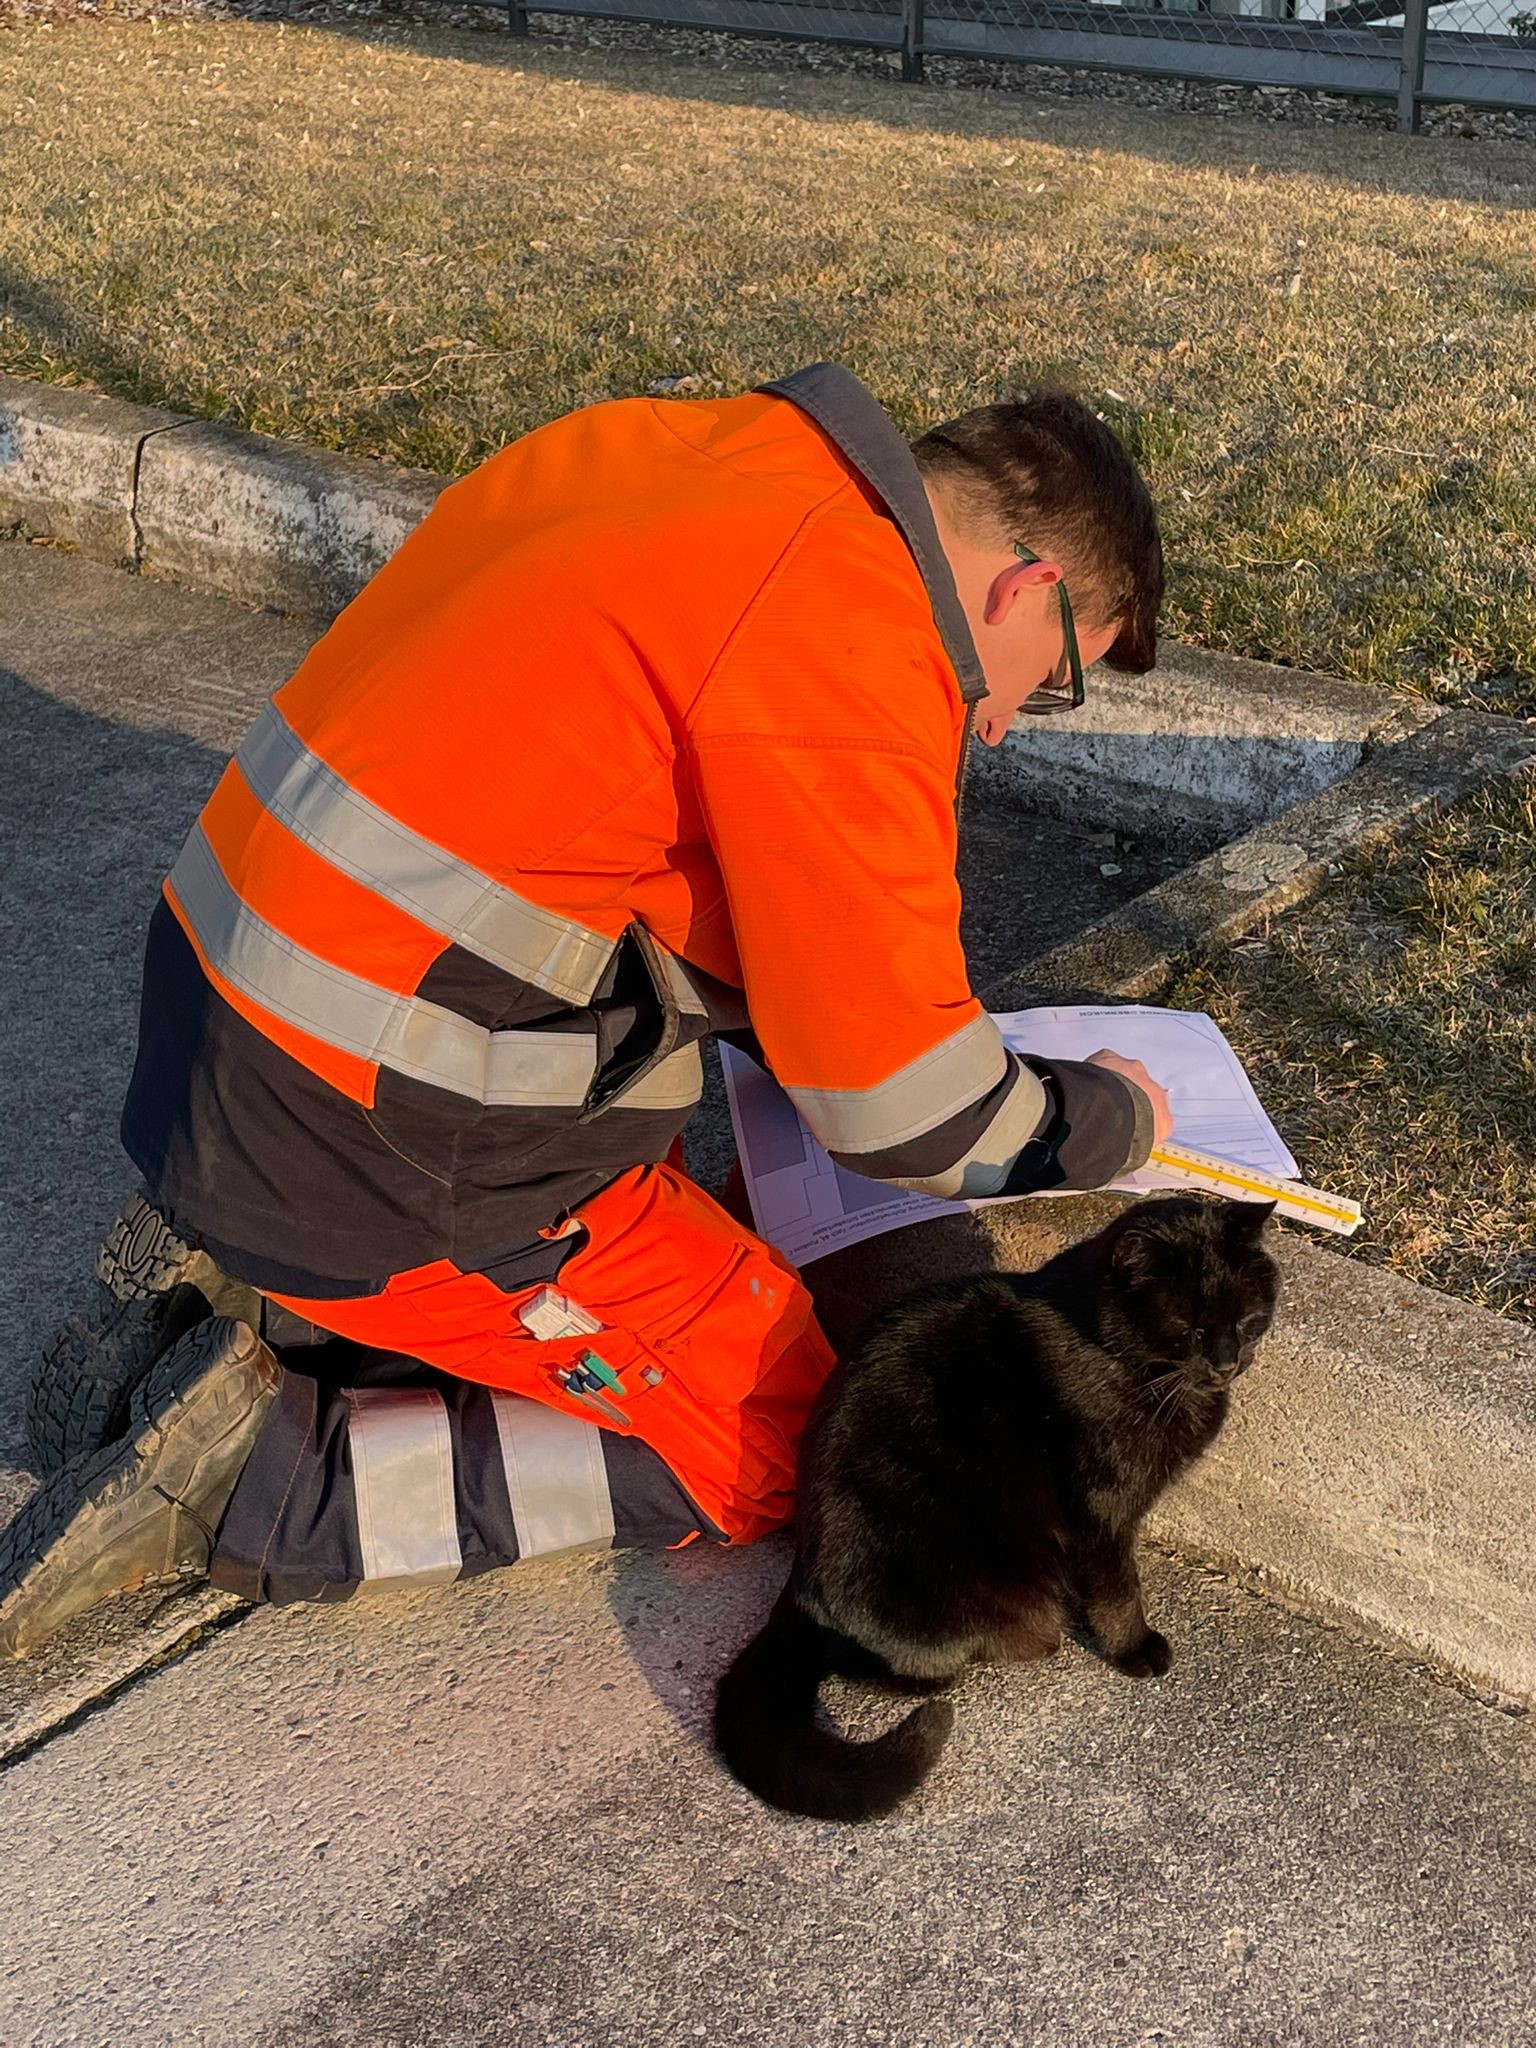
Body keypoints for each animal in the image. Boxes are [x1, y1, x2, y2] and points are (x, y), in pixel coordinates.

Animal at [714, 1195, 1279, 1824]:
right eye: (1190, 1329)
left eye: (1248, 1320)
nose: (1228, 1362)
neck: (1118, 1358)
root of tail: (797, 1582)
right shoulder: (1101, 1511)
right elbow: (1117, 1589)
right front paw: (1133, 1648)